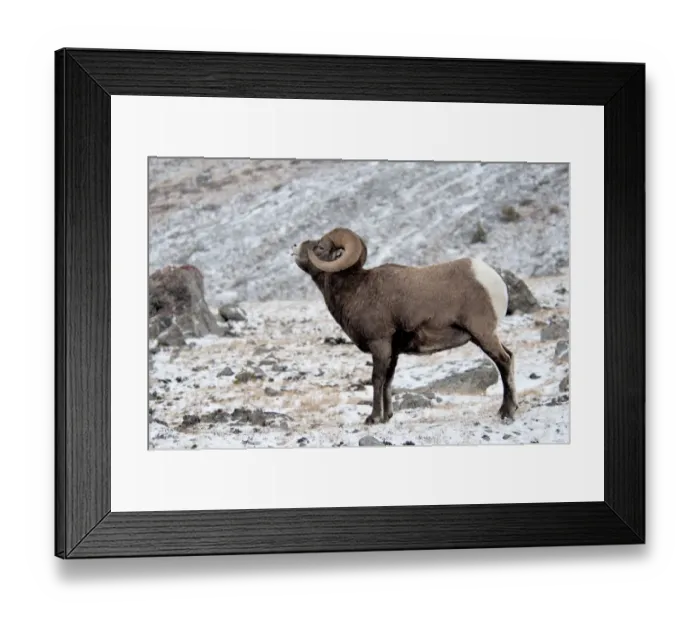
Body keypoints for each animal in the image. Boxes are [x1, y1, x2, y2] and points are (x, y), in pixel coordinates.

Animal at [292, 227, 519, 425]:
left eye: (320, 247)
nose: (294, 246)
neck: (356, 290)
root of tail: (492, 278)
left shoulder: (380, 345)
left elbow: (377, 379)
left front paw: (373, 418)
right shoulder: (393, 352)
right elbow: (388, 382)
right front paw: (386, 417)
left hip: (483, 335)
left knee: (504, 361)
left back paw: (506, 412)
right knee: (509, 356)